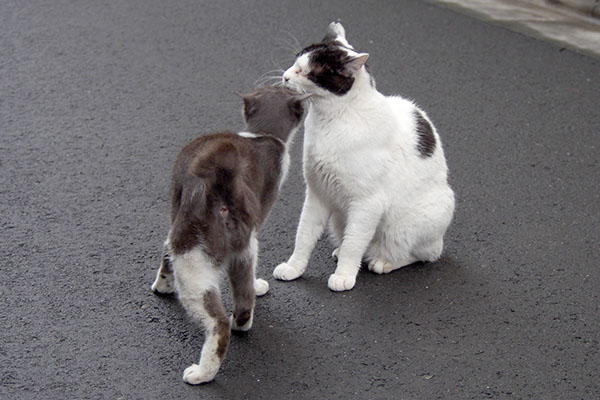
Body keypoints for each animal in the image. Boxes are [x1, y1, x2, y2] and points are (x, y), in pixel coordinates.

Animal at [150, 86, 310, 384]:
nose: (288, 80)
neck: (263, 135)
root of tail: (224, 184)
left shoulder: (174, 216)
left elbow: (165, 251)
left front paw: (162, 286)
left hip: (190, 256)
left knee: (217, 322)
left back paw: (202, 373)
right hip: (244, 245)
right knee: (244, 294)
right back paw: (243, 321)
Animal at [274, 21, 454, 290]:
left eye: (307, 73)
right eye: (295, 63)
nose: (285, 75)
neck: (330, 120)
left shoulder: (367, 203)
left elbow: (353, 244)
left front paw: (344, 276)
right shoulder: (318, 193)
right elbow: (304, 236)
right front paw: (293, 268)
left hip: (410, 223)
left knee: (421, 255)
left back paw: (382, 262)